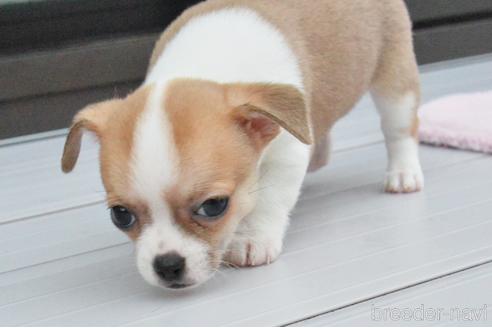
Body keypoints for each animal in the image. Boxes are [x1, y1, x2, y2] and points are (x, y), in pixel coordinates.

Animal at [60, 0, 422, 288]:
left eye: (214, 206)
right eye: (120, 215)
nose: (167, 265)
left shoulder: (286, 154)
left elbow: (268, 201)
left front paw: (252, 239)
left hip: (394, 81)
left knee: (399, 129)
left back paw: (404, 174)